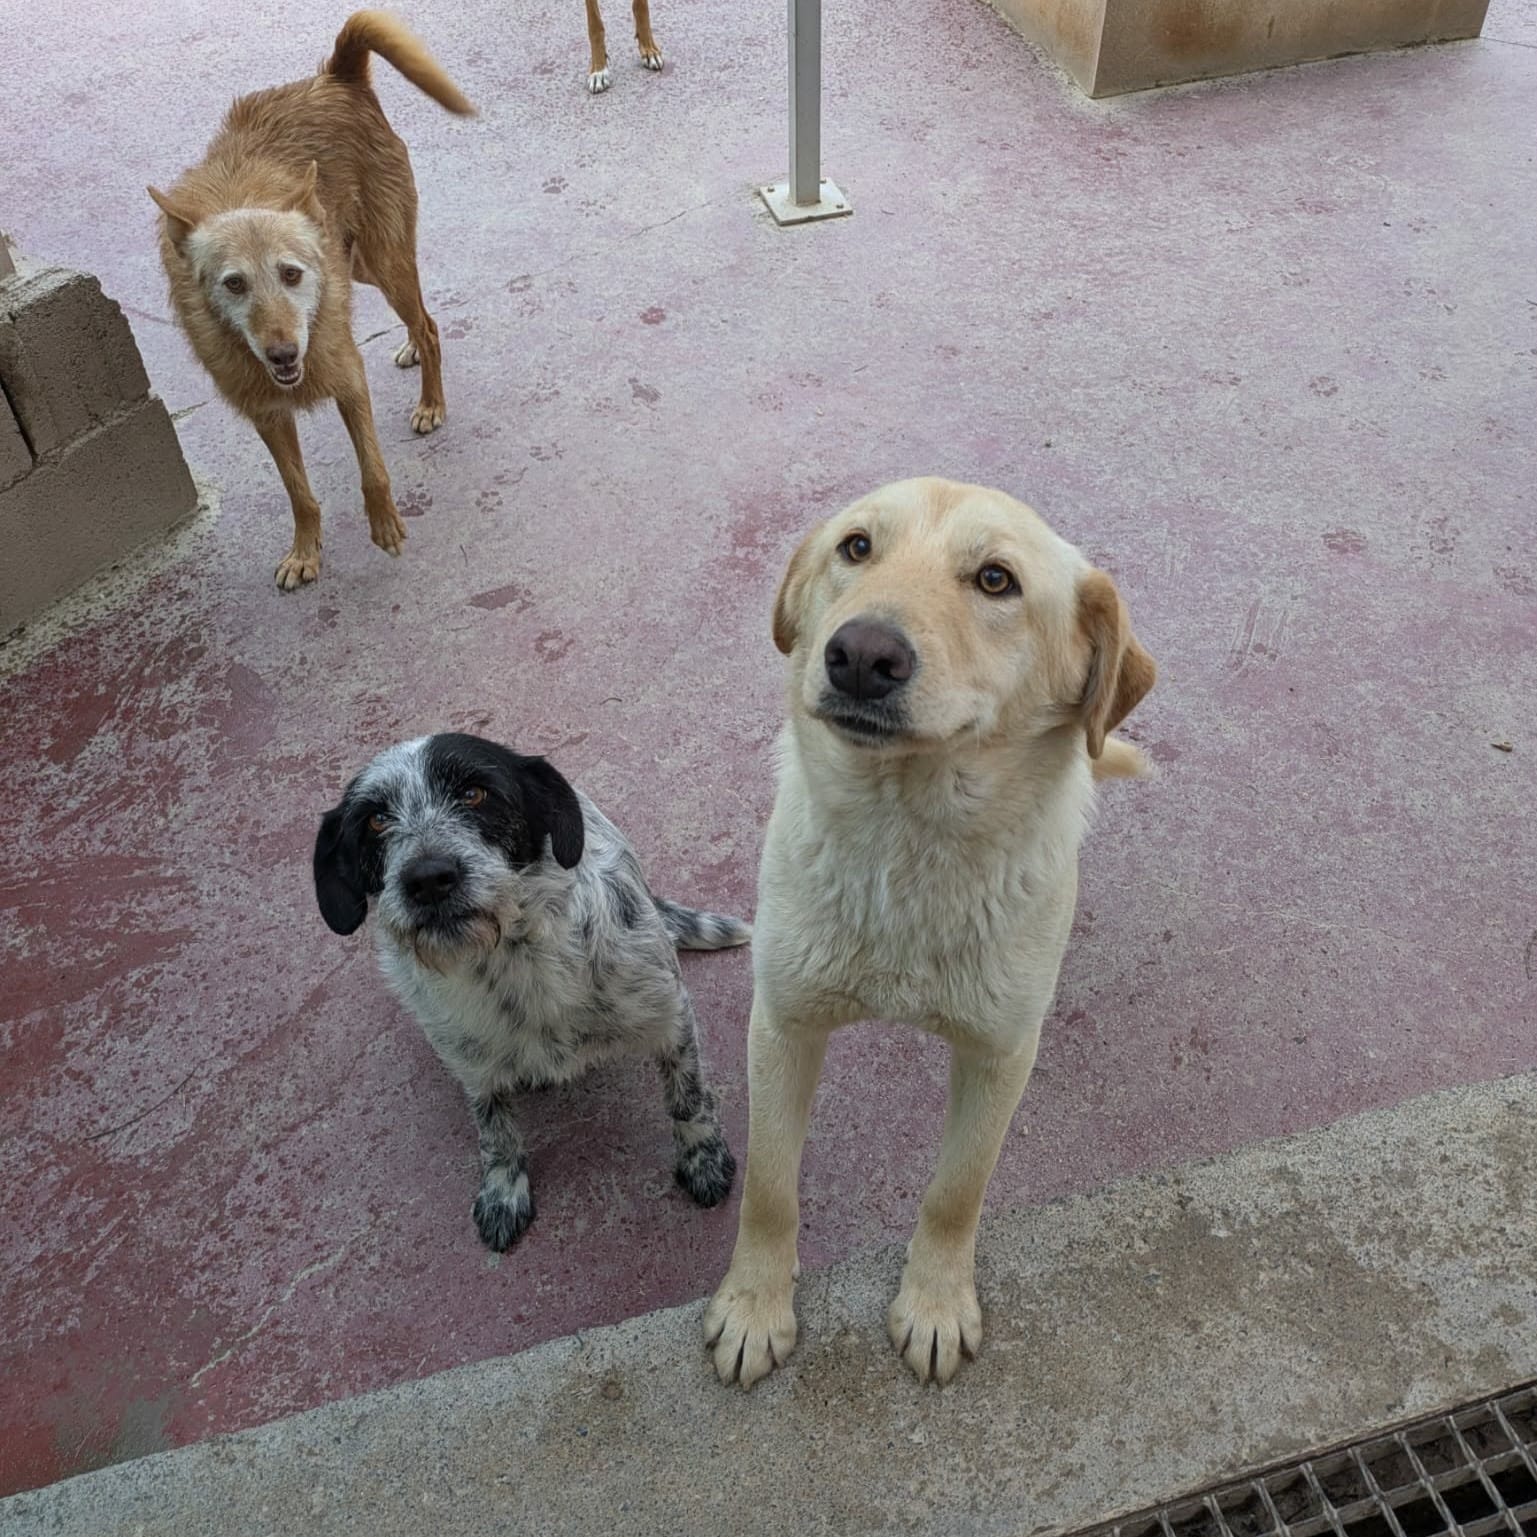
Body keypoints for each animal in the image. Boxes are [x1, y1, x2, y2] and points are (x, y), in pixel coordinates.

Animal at [148, 11, 474, 591]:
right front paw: (305, 552)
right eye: (233, 284)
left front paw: (385, 525)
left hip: (383, 258)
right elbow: (298, 493)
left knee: (431, 324)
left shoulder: (349, 380)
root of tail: (334, 76)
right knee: (422, 318)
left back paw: (431, 399)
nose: (282, 354)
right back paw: (412, 350)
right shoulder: (268, 416)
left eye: (291, 273)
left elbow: (372, 469)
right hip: (361, 264)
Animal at [313, 732, 744, 1250]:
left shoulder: (670, 1015)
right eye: (375, 820)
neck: (510, 961)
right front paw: (504, 1190)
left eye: (475, 793)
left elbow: (687, 1097)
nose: (428, 878)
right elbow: (494, 1130)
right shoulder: (470, 1064)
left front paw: (702, 1158)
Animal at [704, 477, 1156, 1388]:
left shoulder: (1001, 1051)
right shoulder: (782, 1023)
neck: (905, 844)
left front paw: (936, 1302)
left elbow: (956, 1189)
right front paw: (754, 1304)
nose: (860, 654)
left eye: (994, 580)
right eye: (856, 547)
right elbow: (769, 1184)